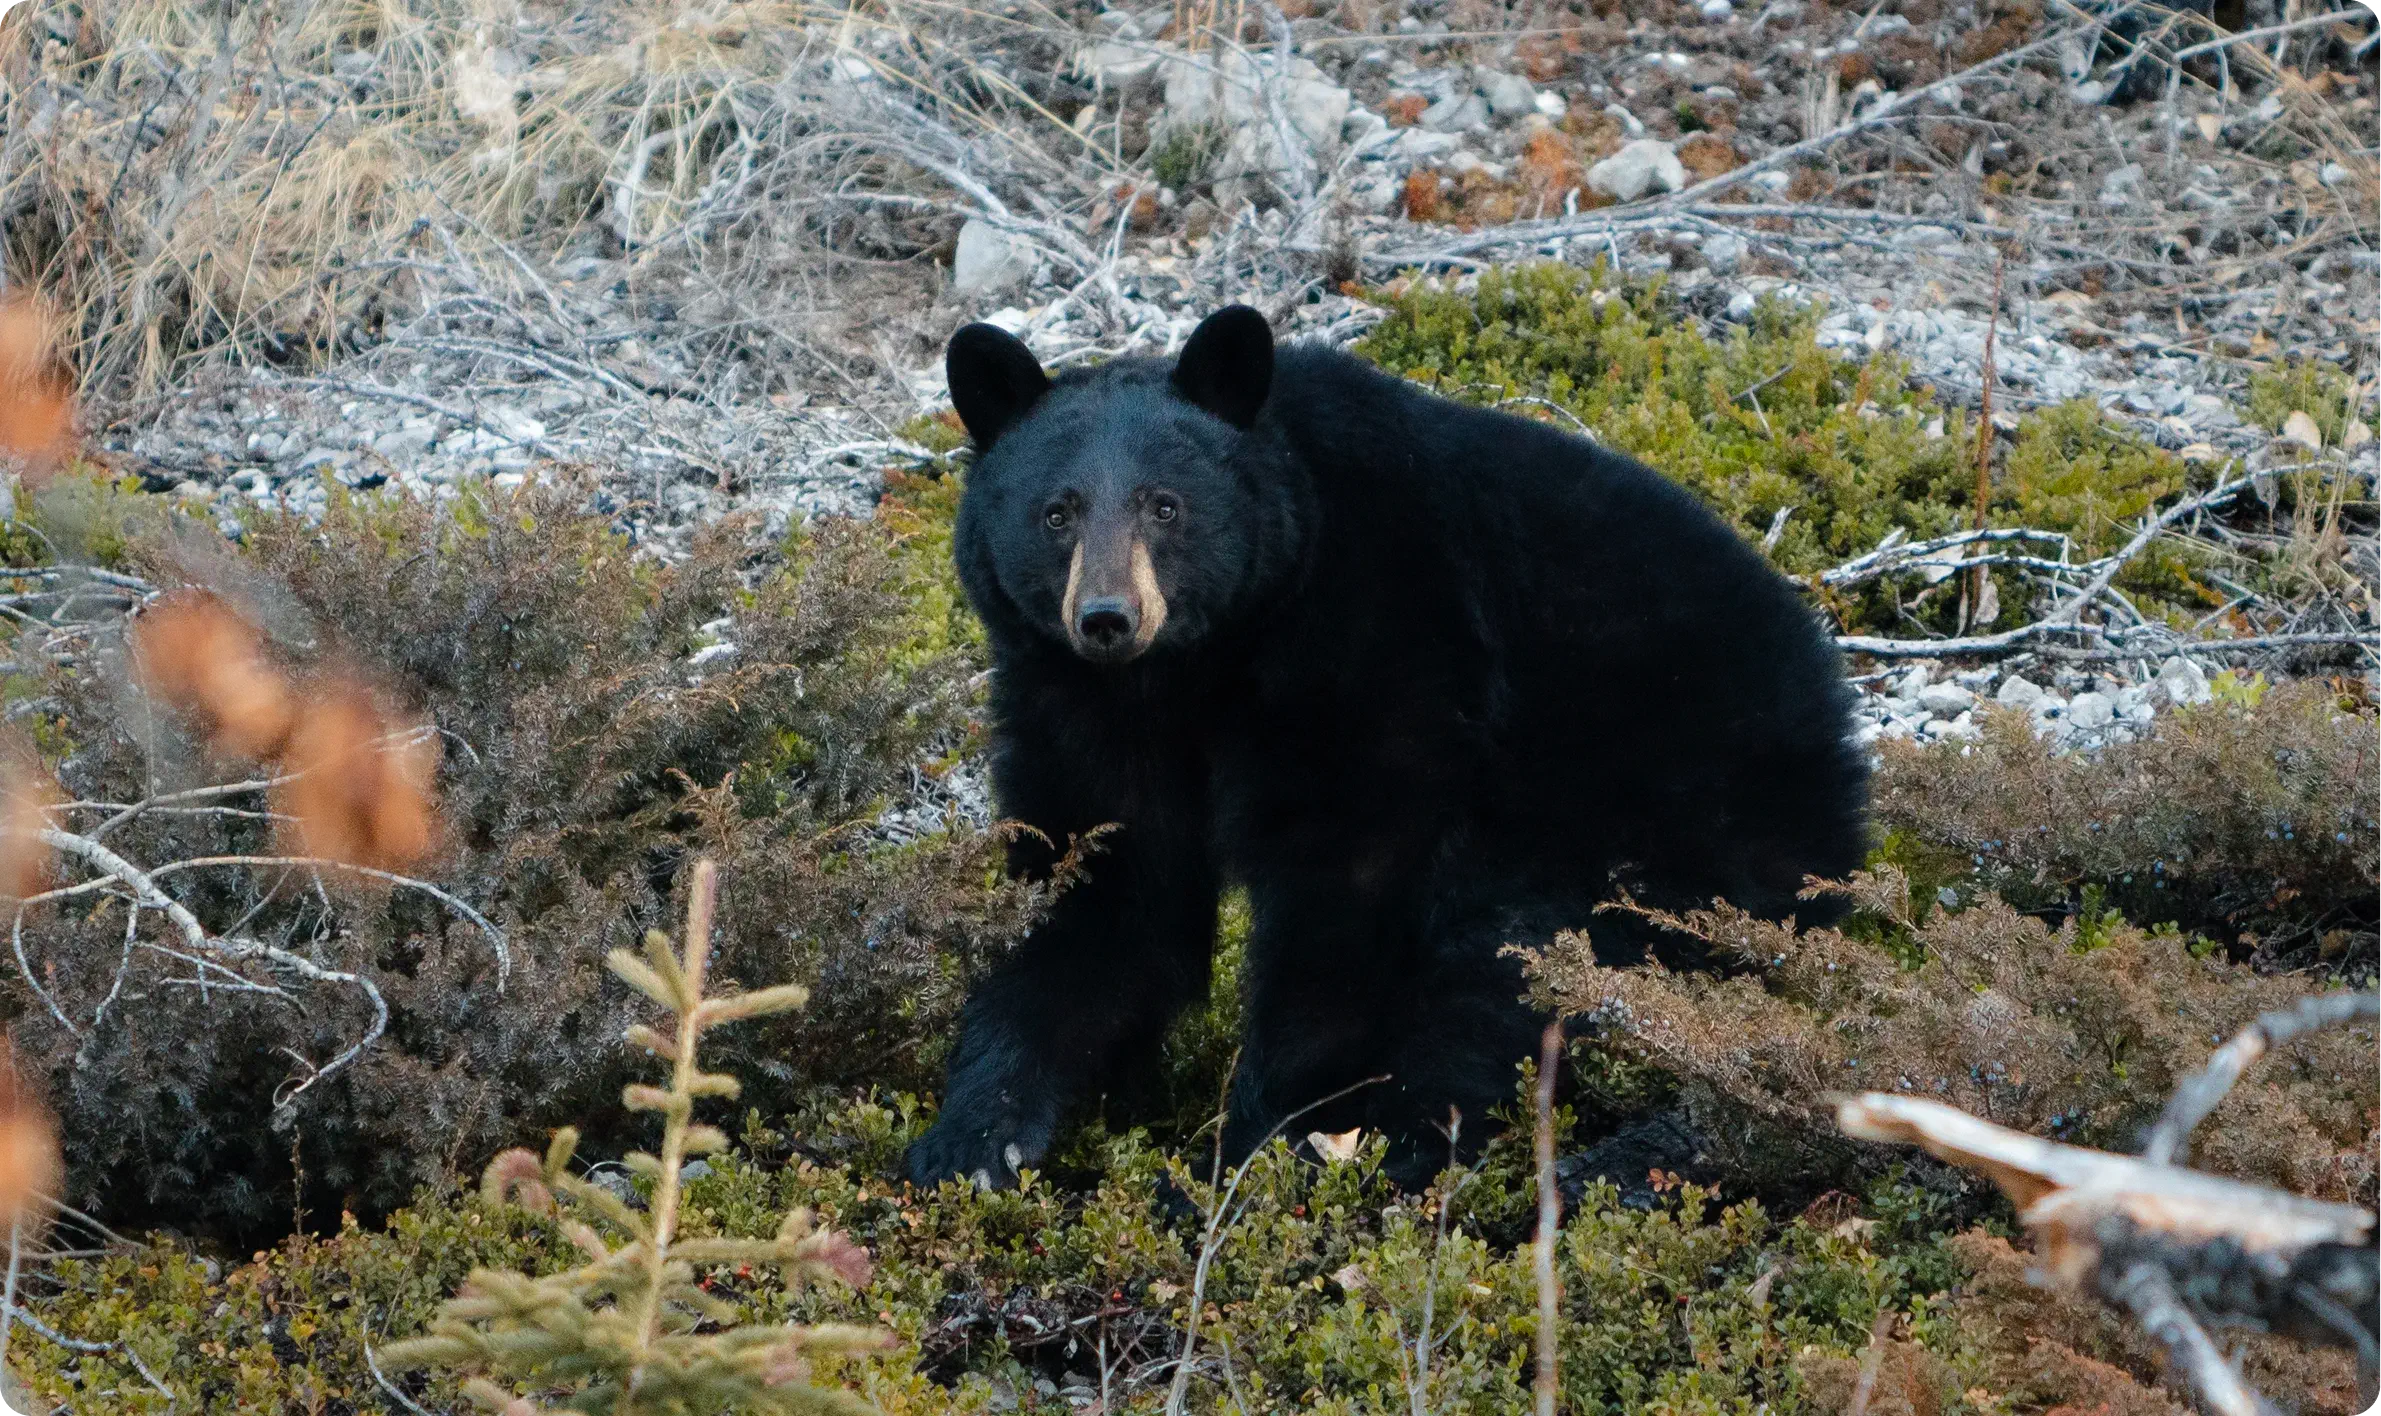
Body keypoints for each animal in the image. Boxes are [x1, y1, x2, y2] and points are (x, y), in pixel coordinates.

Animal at [905, 304, 1869, 1192]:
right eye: (1056, 512)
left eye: (1165, 506)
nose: (1107, 617)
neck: (1204, 665)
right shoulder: (1085, 708)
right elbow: (1107, 891)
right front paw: (972, 1136)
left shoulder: (1381, 643)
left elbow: (1346, 897)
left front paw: (1260, 1145)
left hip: (1669, 831)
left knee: (1510, 974)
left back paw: (1437, 1148)